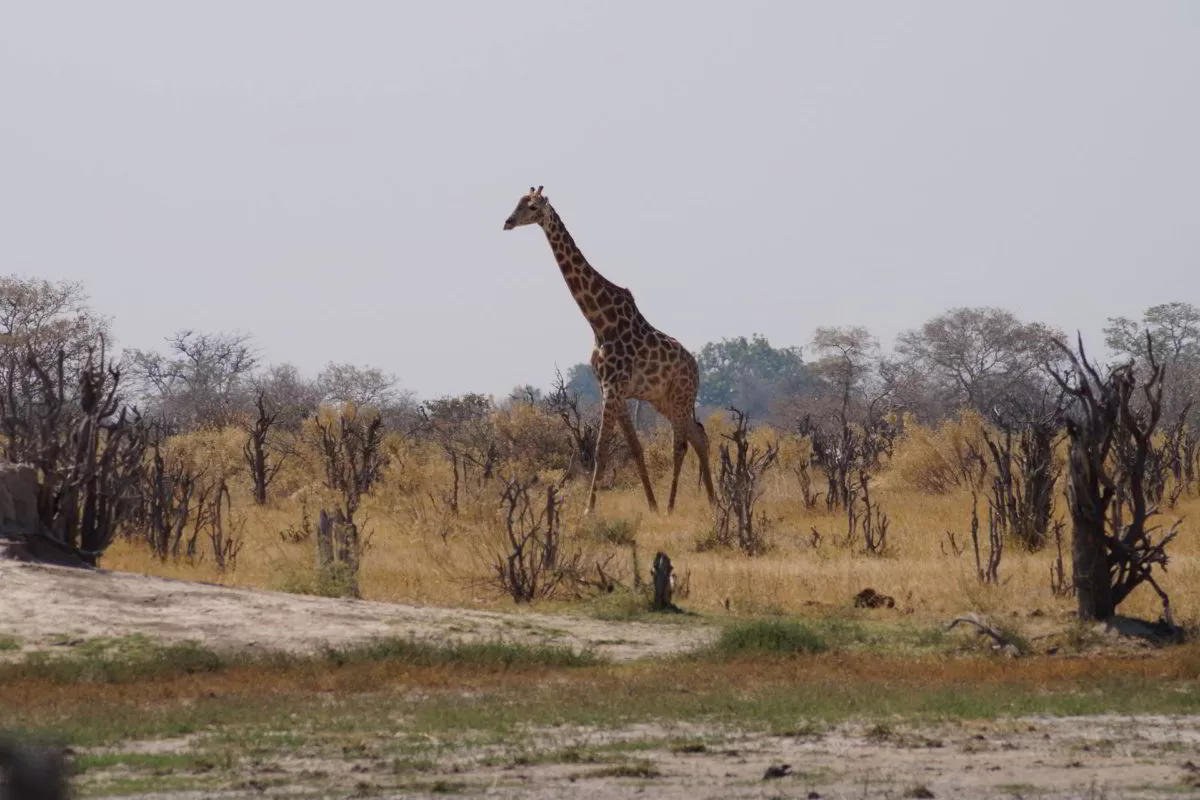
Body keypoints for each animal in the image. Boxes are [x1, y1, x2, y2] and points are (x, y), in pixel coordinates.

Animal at [504, 185, 715, 515]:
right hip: (663, 399)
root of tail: (696, 368)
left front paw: (589, 510)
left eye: (534, 207)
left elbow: (602, 449)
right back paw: (713, 500)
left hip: (681, 395)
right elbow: (635, 448)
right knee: (699, 435)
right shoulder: (611, 387)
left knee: (681, 444)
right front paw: (651, 505)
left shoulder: (613, 387)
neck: (599, 321)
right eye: (518, 202)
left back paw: (674, 505)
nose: (508, 222)